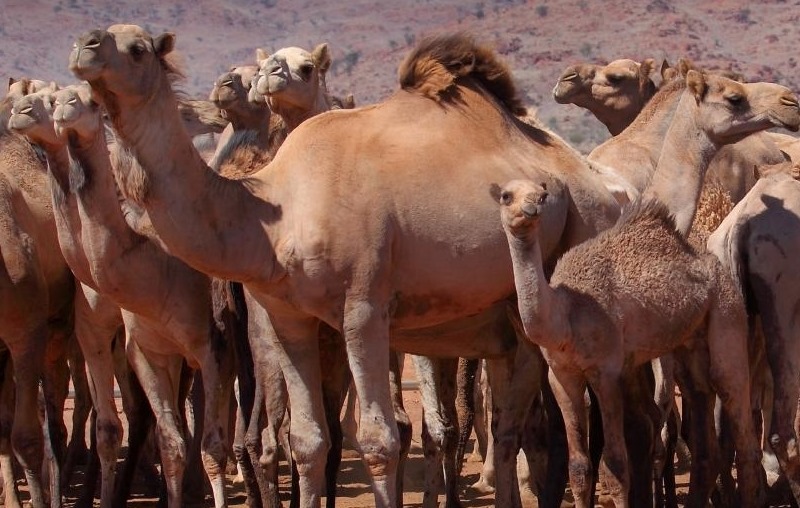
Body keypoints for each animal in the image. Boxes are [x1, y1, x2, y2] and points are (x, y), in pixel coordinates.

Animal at [6, 85, 238, 506]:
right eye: (47, 97)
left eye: (86, 99)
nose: (23, 110)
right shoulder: (116, 339)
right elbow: (148, 435)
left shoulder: (210, 346)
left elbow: (211, 444)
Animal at [70, 28, 624, 508]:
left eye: (139, 48)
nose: (85, 45)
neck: (276, 211)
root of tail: (601, 185)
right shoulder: (285, 316)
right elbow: (307, 440)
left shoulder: (364, 306)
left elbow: (379, 440)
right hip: (511, 319)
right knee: (510, 428)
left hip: (582, 242)